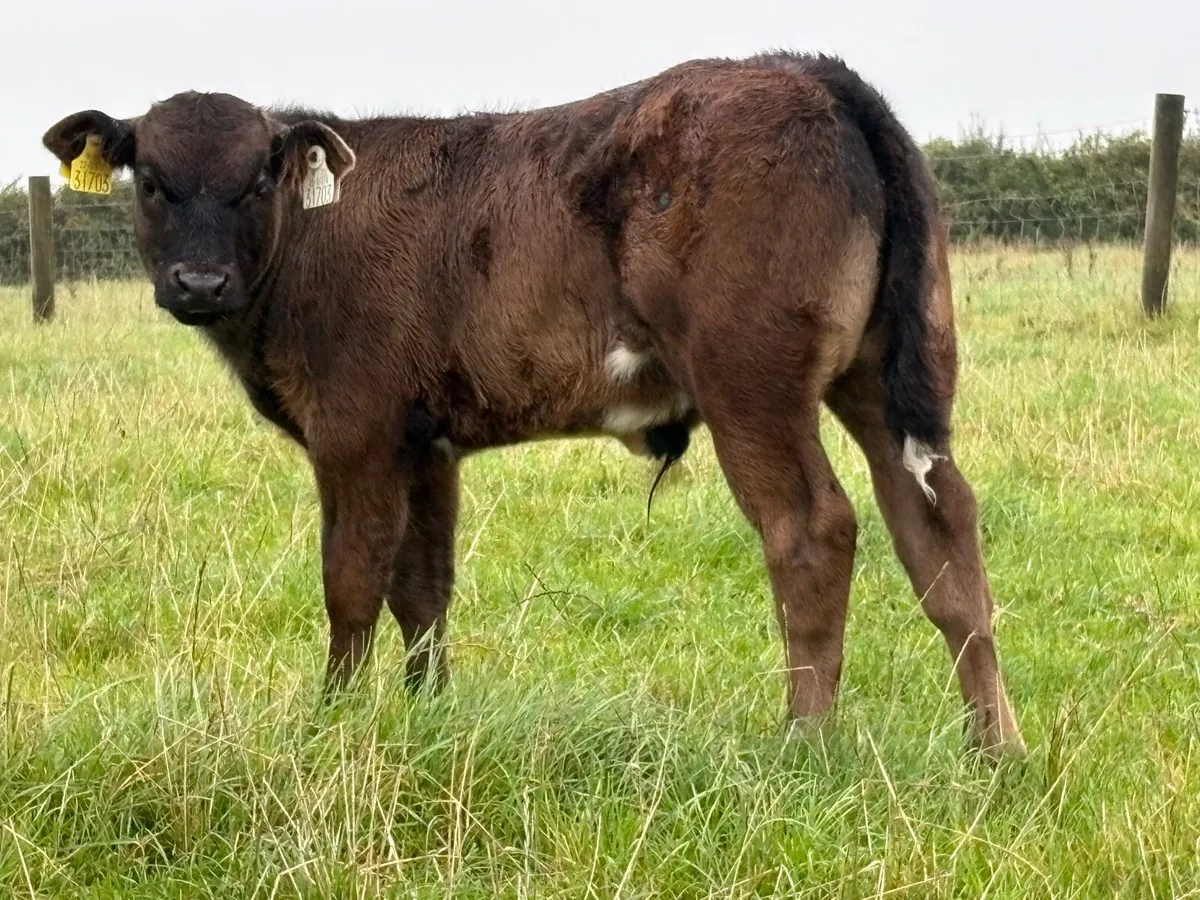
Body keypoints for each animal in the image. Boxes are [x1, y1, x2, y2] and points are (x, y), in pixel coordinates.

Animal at [43, 52, 1025, 756]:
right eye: (151, 180)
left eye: (256, 180)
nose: (198, 281)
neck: (310, 237)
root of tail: (812, 73)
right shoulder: (426, 444)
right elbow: (422, 588)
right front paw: (427, 717)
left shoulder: (354, 431)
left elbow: (352, 581)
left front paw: (331, 723)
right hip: (890, 378)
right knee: (938, 526)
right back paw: (994, 748)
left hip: (752, 384)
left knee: (813, 529)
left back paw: (804, 741)